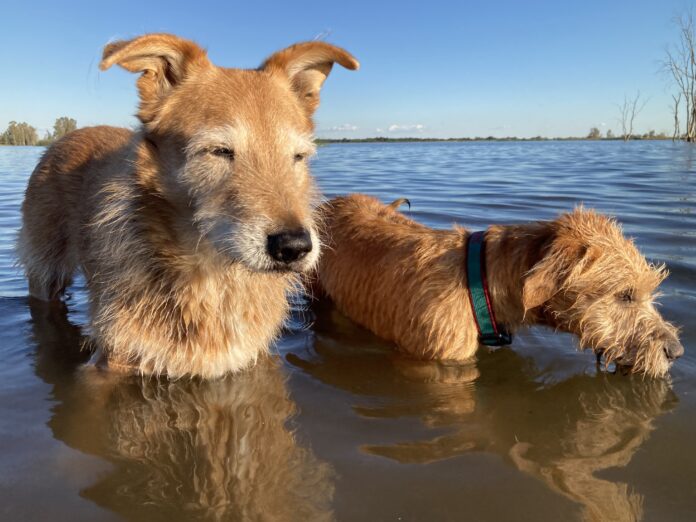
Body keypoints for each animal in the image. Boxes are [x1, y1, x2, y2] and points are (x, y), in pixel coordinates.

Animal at [19, 32, 358, 376]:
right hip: (45, 268)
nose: (293, 246)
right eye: (219, 151)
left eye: (298, 156)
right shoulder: (110, 362)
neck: (213, 279)